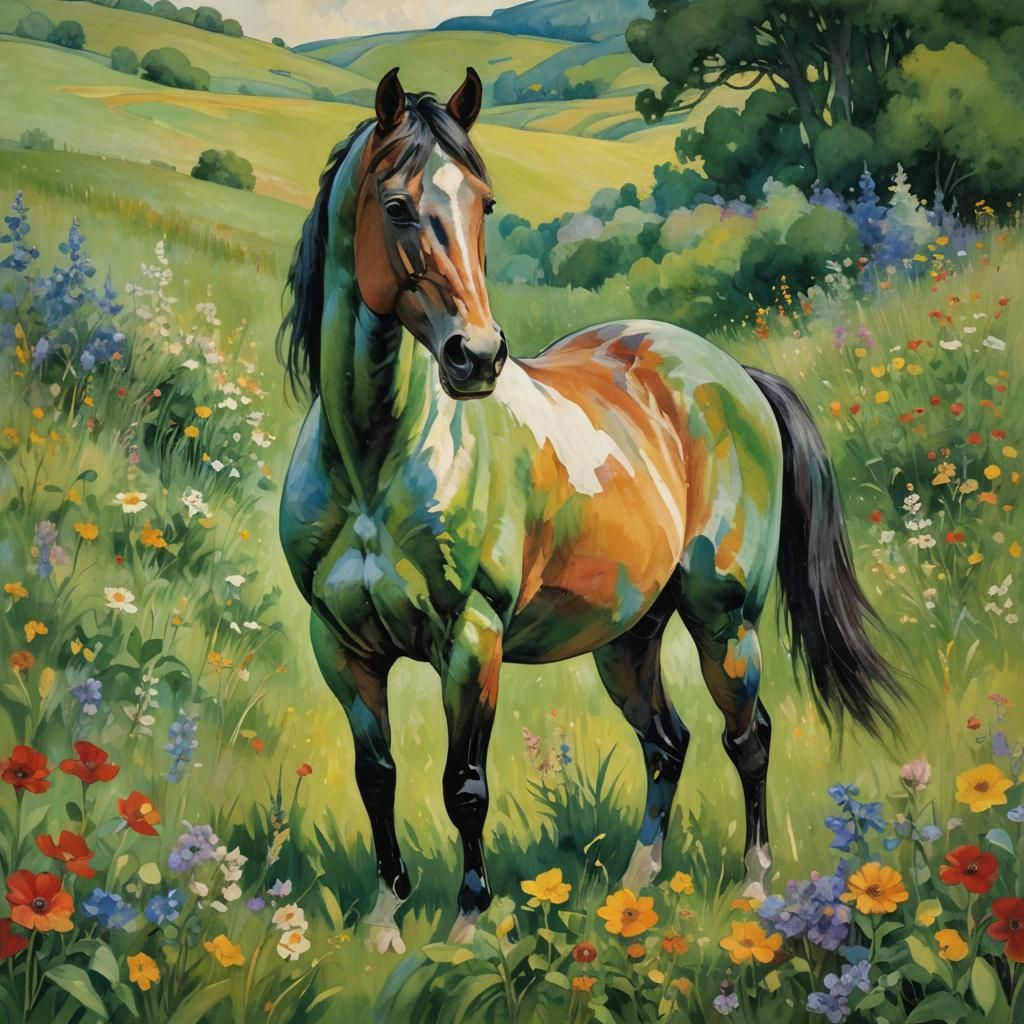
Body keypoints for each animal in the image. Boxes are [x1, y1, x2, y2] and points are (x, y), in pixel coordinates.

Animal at [277, 67, 900, 953]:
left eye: (484, 203)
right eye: (395, 205)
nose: (477, 357)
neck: (374, 461)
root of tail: (734, 374)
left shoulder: (471, 641)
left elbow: (464, 784)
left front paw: (466, 929)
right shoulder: (342, 647)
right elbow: (378, 777)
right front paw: (385, 922)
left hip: (724, 621)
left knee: (748, 738)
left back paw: (754, 889)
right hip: (627, 638)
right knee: (667, 743)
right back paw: (635, 890)